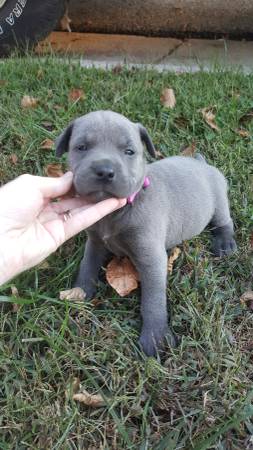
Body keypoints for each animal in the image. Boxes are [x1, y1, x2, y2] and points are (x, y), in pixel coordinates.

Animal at [55, 109, 237, 356]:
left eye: (129, 151)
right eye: (81, 147)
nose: (104, 171)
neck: (118, 212)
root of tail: (202, 163)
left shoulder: (151, 258)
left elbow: (153, 299)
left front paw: (154, 337)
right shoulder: (95, 242)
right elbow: (88, 264)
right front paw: (80, 291)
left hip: (218, 197)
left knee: (224, 220)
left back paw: (225, 243)